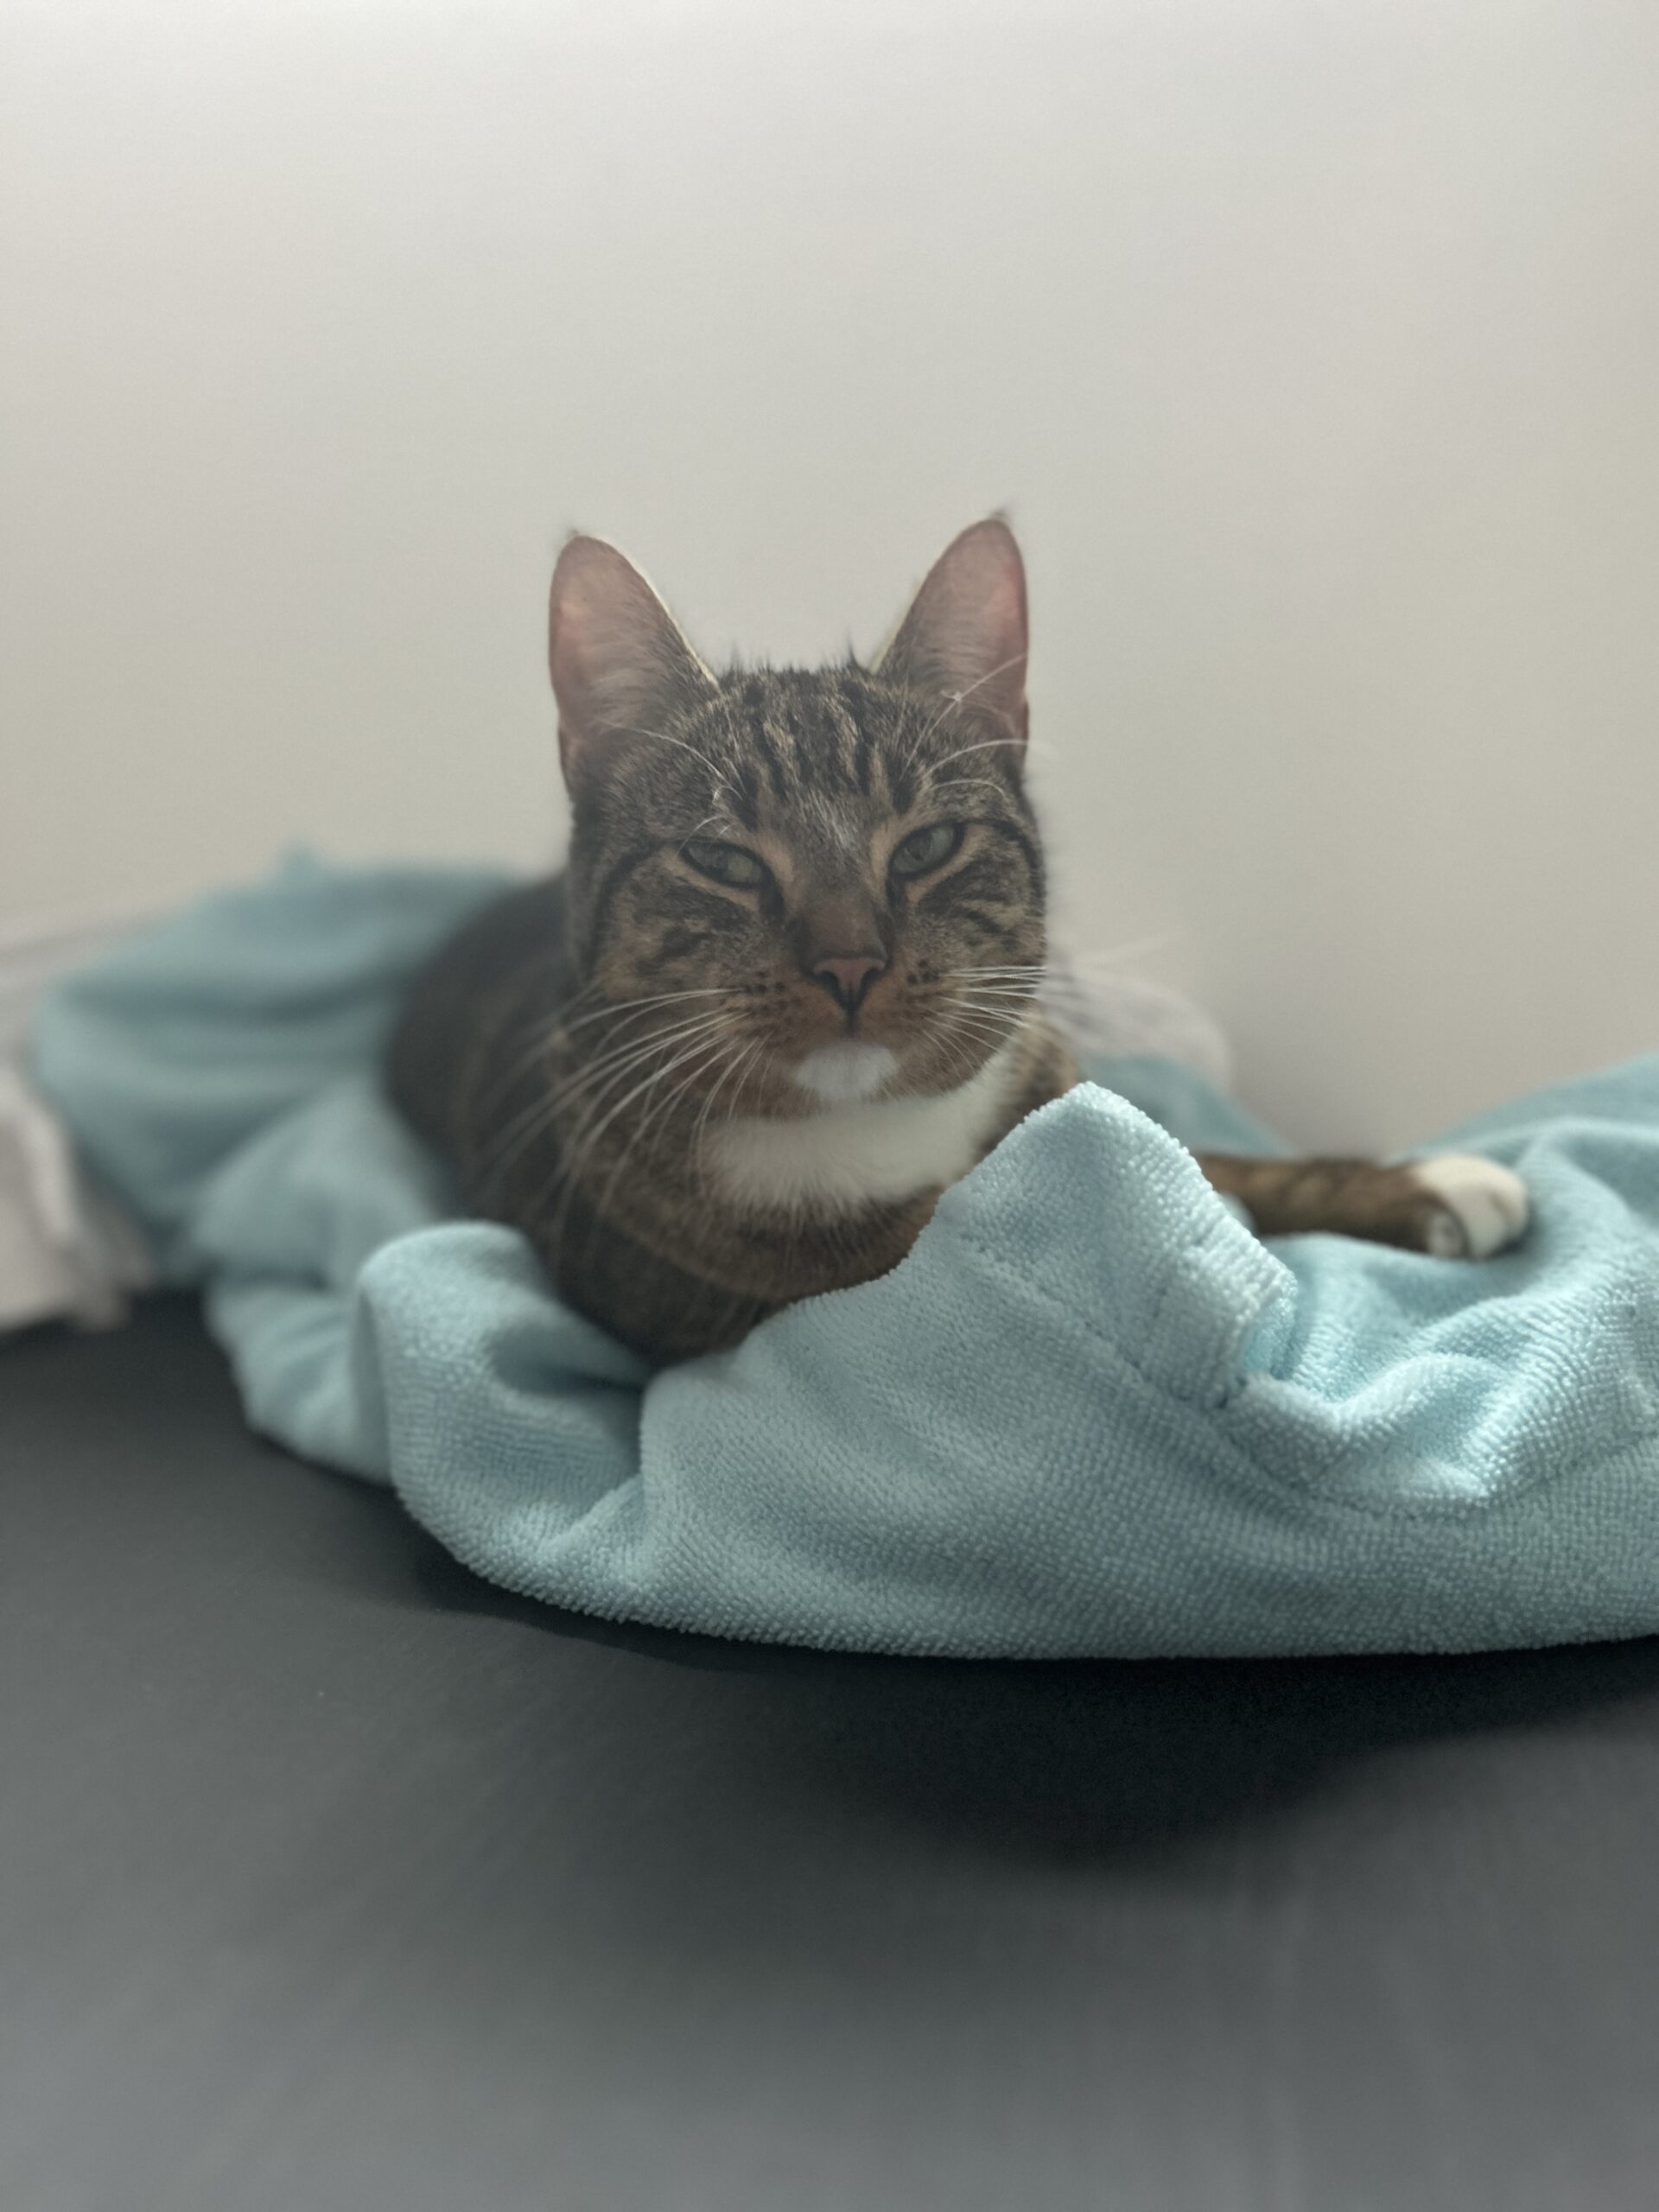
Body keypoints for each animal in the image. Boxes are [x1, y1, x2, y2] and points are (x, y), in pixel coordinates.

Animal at [386, 518, 1529, 1363]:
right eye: (725, 861)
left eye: (928, 844)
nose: (850, 962)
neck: (874, 1134)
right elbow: (950, 1247)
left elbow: (1205, 1153)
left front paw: (1418, 1185)